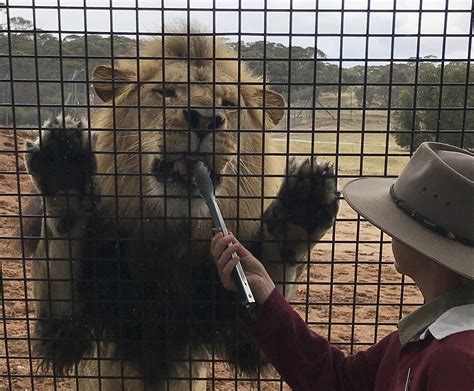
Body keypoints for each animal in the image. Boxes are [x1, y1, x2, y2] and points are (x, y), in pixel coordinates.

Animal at [22, 32, 338, 390]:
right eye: (166, 92)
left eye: (228, 105)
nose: (204, 118)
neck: (173, 231)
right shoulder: (69, 328)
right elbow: (61, 243)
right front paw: (63, 167)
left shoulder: (245, 333)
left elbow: (275, 308)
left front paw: (302, 208)